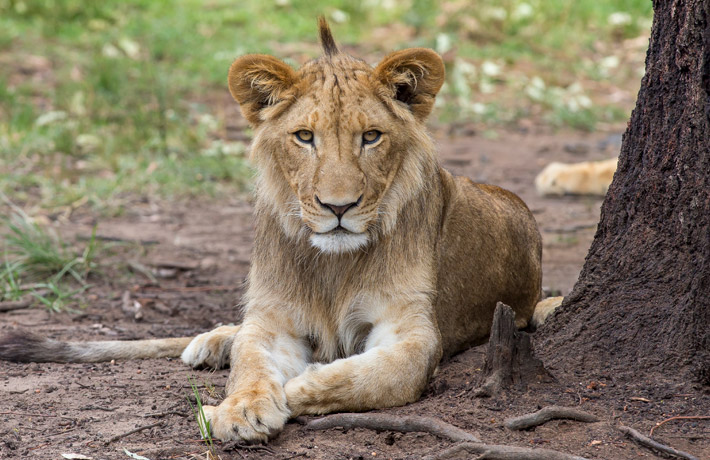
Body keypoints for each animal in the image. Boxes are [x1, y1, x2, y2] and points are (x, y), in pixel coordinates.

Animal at [0, 19, 552, 444]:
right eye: (304, 137)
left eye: (371, 137)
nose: (338, 207)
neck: (332, 264)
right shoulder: (274, 317)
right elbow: (251, 361)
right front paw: (240, 410)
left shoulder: (412, 327)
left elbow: (381, 372)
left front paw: (304, 384)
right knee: (238, 330)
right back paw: (214, 341)